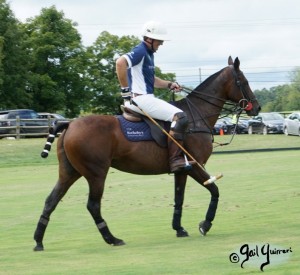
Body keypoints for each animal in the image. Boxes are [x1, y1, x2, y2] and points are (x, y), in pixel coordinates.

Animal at [34, 56, 262, 252]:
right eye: (243, 81)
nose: (257, 107)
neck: (197, 117)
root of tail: (69, 124)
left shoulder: (182, 169)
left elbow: (179, 198)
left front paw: (179, 228)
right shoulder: (195, 165)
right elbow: (215, 190)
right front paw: (205, 225)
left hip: (70, 171)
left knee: (51, 200)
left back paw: (38, 241)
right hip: (96, 173)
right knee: (93, 205)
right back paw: (112, 239)